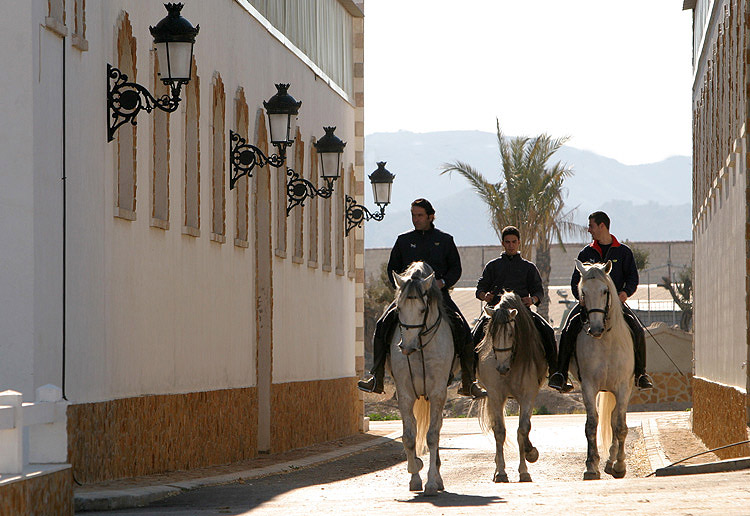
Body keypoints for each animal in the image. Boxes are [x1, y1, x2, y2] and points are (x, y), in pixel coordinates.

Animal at [390, 262, 456, 496]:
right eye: (398, 309)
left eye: (422, 310)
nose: (406, 347)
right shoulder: (405, 395)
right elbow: (409, 436)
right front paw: (414, 473)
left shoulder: (437, 393)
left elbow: (432, 436)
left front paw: (431, 483)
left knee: (437, 429)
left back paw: (438, 478)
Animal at [478, 294, 548, 484]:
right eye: (491, 333)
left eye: (511, 333)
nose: (502, 368)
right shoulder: (495, 395)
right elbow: (499, 432)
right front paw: (501, 472)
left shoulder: (527, 395)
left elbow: (522, 430)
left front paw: (526, 466)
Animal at [576, 260, 636, 482]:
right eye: (583, 292)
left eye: (604, 291)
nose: (595, 329)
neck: (606, 341)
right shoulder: (588, 386)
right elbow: (592, 424)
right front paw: (591, 466)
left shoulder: (623, 387)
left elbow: (620, 426)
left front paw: (620, 465)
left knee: (614, 420)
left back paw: (612, 461)